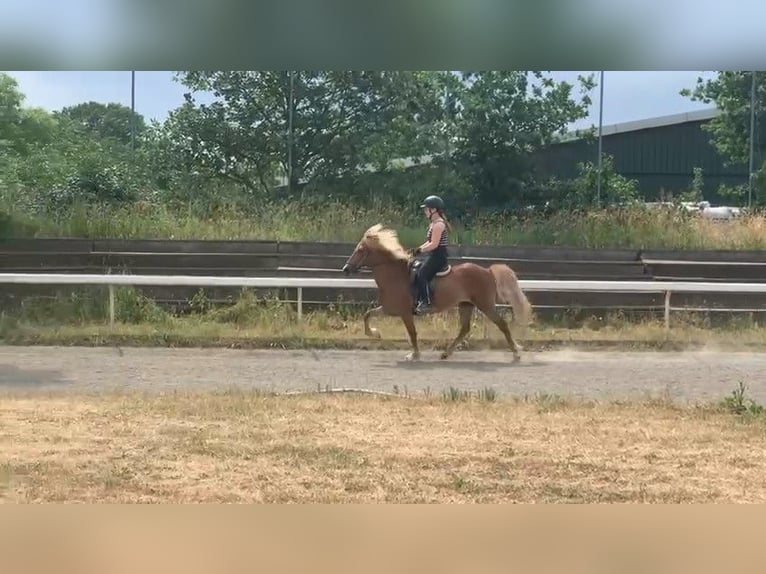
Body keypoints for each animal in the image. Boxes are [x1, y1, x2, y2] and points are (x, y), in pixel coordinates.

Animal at [342, 224, 536, 362]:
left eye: (360, 250)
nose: (345, 269)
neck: (396, 275)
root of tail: (487, 271)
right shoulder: (390, 308)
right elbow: (367, 315)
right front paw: (375, 334)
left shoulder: (405, 313)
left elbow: (412, 333)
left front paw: (414, 355)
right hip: (466, 305)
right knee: (464, 329)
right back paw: (445, 354)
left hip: (485, 305)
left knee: (502, 324)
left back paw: (516, 354)